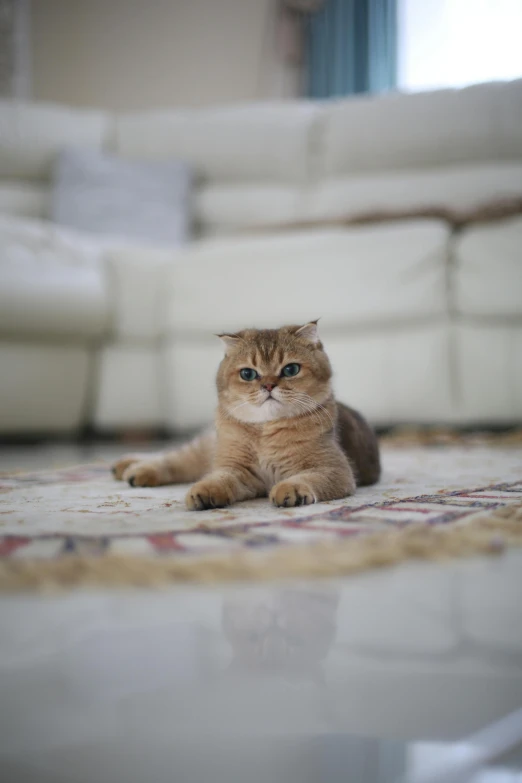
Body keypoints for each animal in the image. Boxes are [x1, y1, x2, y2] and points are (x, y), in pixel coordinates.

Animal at [110, 322, 378, 512]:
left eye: (291, 369)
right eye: (248, 374)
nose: (268, 385)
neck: (265, 433)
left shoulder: (336, 470)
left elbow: (307, 477)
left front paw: (290, 489)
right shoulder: (236, 469)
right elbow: (220, 478)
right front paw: (205, 491)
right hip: (206, 449)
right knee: (170, 457)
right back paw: (131, 467)